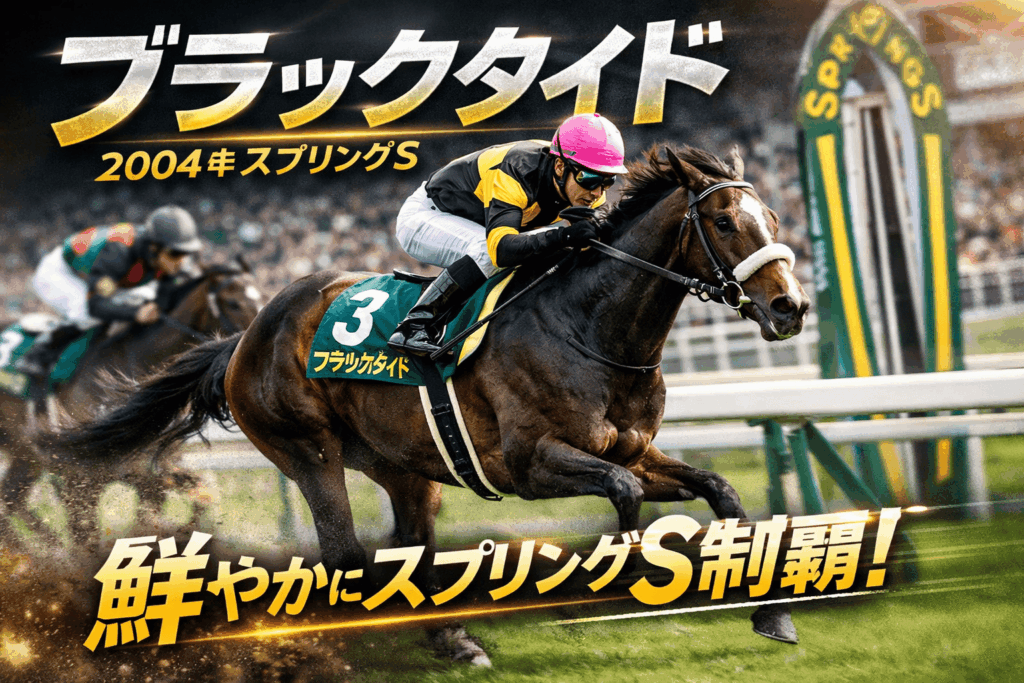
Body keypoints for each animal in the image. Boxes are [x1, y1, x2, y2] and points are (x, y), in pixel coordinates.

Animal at [0, 260, 264, 548]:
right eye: (233, 303)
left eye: (262, 296)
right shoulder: (82, 478)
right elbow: (88, 533)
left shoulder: (153, 467)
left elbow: (200, 498)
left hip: (25, 458)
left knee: (10, 501)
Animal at [47, 144, 809, 664]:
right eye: (723, 220)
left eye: (773, 214)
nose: (791, 307)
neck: (589, 327)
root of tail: (245, 336)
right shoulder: (531, 464)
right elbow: (621, 493)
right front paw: (633, 582)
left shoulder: (635, 448)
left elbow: (719, 488)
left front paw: (771, 615)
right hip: (307, 448)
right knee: (343, 550)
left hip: (405, 464)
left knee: (406, 545)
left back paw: (450, 637)